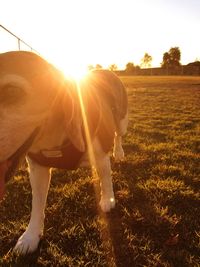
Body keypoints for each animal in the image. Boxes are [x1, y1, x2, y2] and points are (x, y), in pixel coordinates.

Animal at [0, 50, 128, 255]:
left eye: (12, 92)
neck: (53, 139)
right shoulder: (37, 169)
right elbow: (37, 204)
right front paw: (30, 236)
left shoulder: (101, 156)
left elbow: (106, 179)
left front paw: (108, 199)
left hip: (122, 121)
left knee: (118, 135)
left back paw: (119, 152)